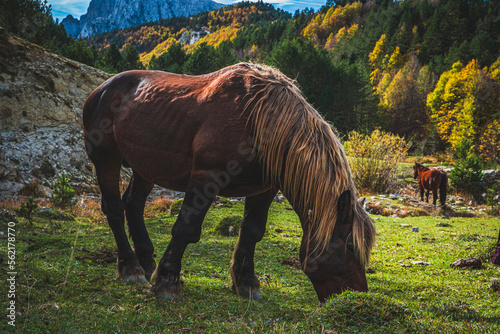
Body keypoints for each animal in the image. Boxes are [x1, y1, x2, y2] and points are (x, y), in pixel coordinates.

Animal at [83, 62, 376, 302]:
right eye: (350, 246)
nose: (356, 298)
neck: (258, 119)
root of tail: (101, 90)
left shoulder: (264, 189)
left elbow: (252, 232)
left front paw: (246, 283)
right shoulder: (205, 178)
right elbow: (186, 229)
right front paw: (167, 282)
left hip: (145, 168)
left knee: (133, 206)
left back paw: (146, 264)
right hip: (106, 159)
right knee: (115, 209)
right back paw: (130, 269)